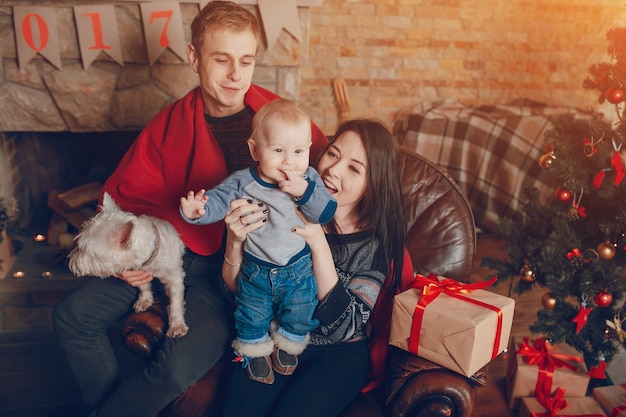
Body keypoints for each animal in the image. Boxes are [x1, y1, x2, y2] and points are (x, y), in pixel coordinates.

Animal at [67, 192, 188, 338]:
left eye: (85, 250)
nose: (71, 262)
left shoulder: (174, 277)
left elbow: (176, 303)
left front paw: (177, 326)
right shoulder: (138, 270)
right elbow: (143, 286)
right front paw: (144, 300)